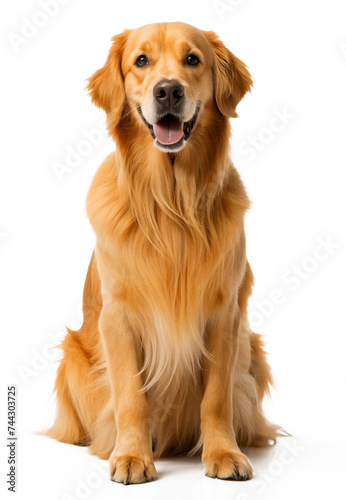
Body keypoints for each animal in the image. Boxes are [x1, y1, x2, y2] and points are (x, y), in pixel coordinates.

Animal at [46, 21, 278, 482]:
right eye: (141, 60)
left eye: (192, 59)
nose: (168, 90)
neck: (172, 208)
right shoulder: (117, 316)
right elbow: (131, 395)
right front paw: (132, 456)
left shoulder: (225, 315)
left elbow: (216, 397)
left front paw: (223, 453)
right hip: (72, 357)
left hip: (253, 352)